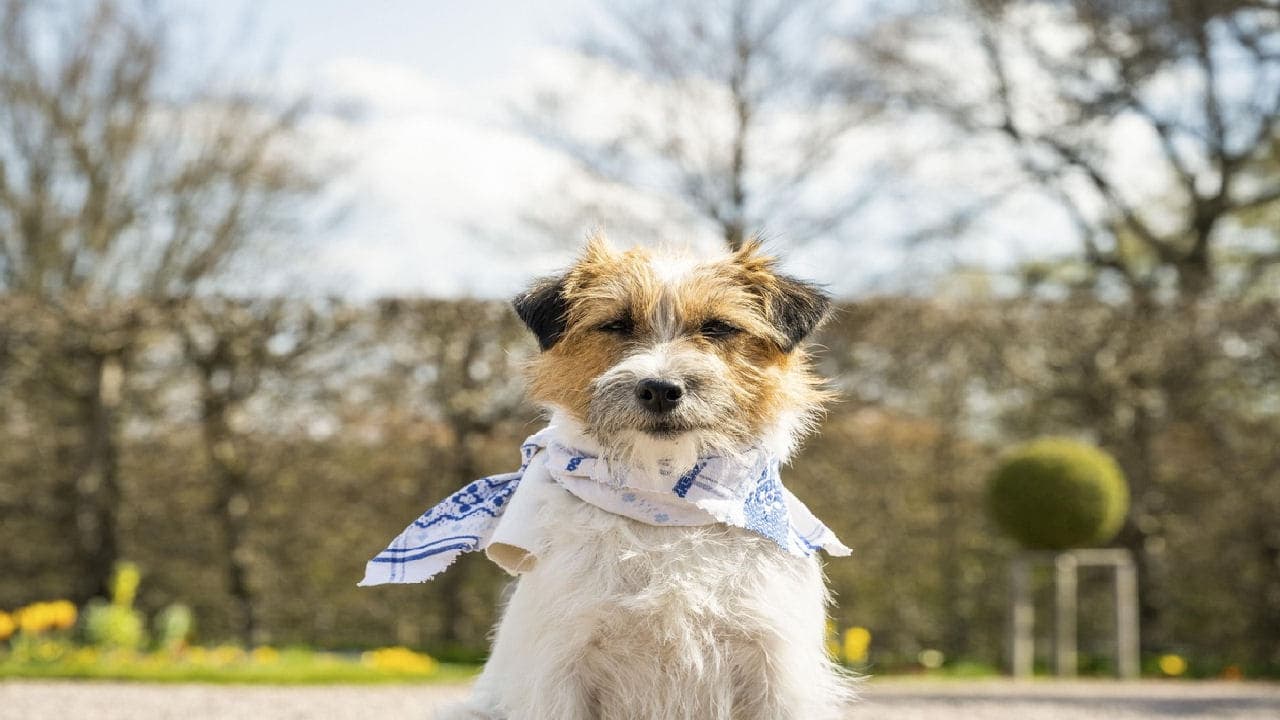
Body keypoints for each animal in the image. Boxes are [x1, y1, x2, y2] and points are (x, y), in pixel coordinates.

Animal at [427, 237, 849, 717]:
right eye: (616, 324)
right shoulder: (559, 668)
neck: (665, 501)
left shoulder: (775, 671)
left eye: (719, 328)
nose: (660, 389)